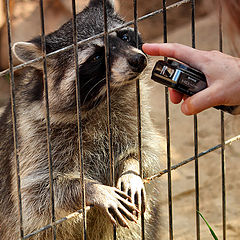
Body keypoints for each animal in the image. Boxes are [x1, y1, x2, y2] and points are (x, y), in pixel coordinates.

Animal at [0, 0, 165, 239]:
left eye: (124, 36)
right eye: (96, 57)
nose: (138, 60)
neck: (103, 97)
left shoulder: (134, 108)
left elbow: (146, 149)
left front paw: (132, 169)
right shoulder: (32, 134)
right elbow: (35, 194)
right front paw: (92, 189)